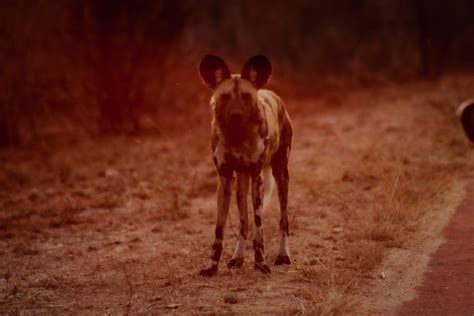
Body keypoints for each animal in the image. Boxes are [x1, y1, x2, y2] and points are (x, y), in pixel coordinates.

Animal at [196, 55, 292, 276]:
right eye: (225, 97)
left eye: (246, 97)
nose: (236, 114)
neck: (237, 136)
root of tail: (270, 92)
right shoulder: (224, 180)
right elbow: (220, 229)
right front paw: (212, 266)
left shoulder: (257, 177)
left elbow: (259, 226)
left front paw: (261, 263)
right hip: (240, 184)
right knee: (243, 223)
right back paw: (237, 258)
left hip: (280, 175)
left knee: (283, 220)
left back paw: (283, 255)